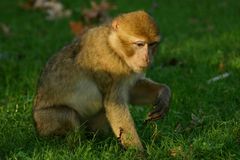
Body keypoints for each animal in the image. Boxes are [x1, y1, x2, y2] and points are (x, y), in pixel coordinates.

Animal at [33, 10, 171, 151]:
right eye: (140, 44)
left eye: (152, 44)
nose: (147, 58)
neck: (114, 47)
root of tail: (37, 128)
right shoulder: (110, 66)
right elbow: (114, 104)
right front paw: (138, 151)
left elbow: (131, 91)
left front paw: (163, 93)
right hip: (45, 122)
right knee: (68, 115)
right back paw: (77, 145)